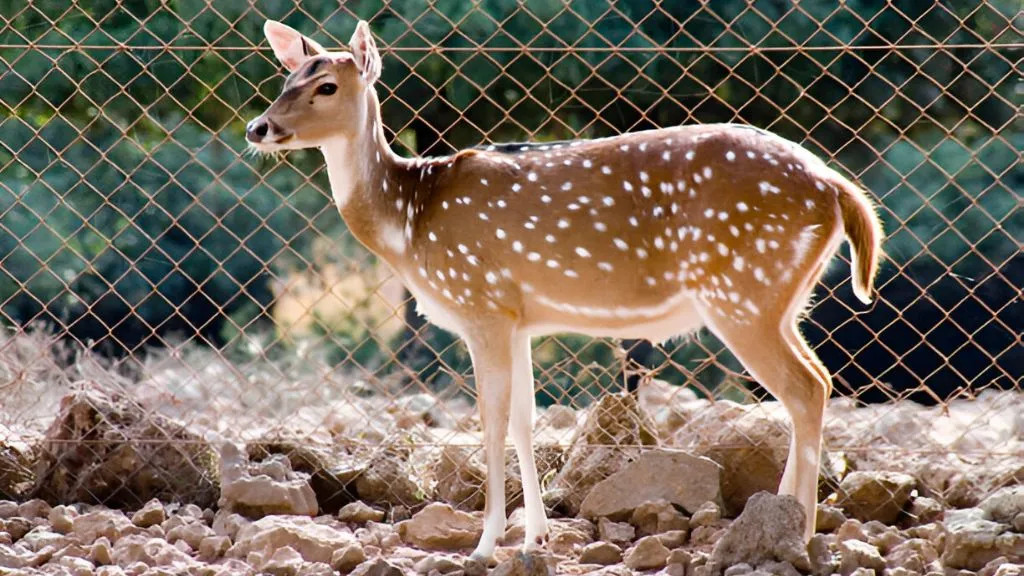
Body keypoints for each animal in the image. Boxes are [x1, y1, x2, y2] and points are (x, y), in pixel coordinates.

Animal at [243, 19, 884, 561]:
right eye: (284, 78)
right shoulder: (519, 316)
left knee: (806, 387)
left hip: (743, 290)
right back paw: (784, 521)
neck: (408, 222)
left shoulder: (479, 302)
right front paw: (535, 536)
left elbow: (491, 420)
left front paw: (485, 545)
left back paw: (796, 534)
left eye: (326, 85)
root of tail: (837, 187)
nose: (258, 127)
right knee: (814, 384)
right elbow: (525, 420)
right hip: (778, 299)